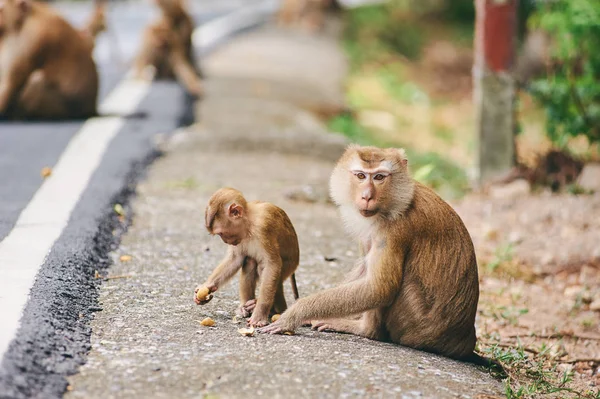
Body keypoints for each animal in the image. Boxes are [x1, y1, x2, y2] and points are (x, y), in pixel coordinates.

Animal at [195, 188, 300, 328]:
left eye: (221, 233)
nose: (225, 241)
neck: (249, 222)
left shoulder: (263, 227)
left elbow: (272, 264)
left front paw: (259, 314)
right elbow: (235, 259)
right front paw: (207, 286)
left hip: (289, 266)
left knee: (265, 268)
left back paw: (273, 309)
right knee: (249, 261)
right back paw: (246, 306)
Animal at [260, 145, 480, 360]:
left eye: (379, 177)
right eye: (360, 175)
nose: (366, 196)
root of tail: (463, 341)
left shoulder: (394, 228)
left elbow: (379, 287)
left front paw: (295, 313)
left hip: (417, 327)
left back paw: (364, 330)